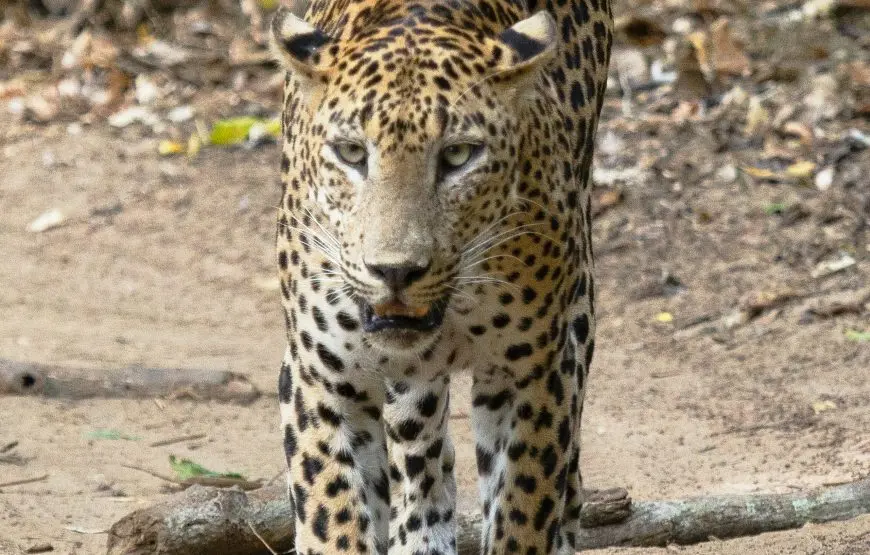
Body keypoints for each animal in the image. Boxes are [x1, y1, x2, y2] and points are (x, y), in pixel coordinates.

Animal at [270, 0, 612, 552]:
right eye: (351, 153)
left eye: (458, 155)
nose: (396, 271)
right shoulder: (320, 379)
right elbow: (333, 514)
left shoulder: (534, 376)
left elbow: (523, 507)